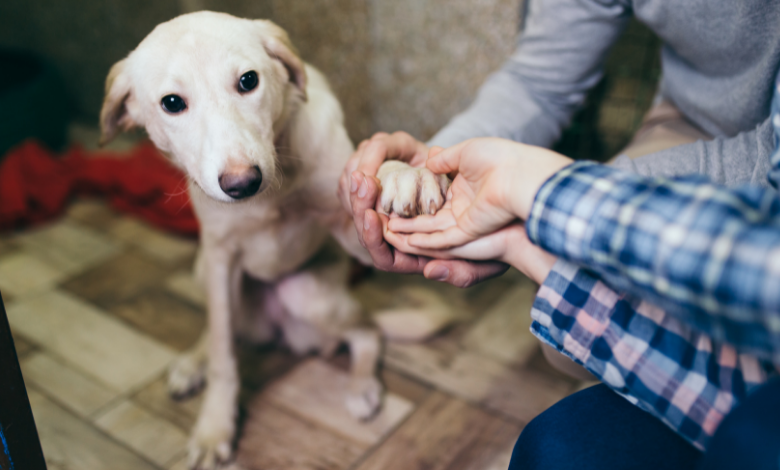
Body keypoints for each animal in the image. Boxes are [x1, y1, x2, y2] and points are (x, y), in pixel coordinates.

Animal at [100, 11, 448, 470]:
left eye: (248, 81)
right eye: (172, 103)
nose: (242, 183)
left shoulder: (353, 228)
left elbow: (373, 175)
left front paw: (402, 172)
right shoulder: (219, 259)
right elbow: (223, 355)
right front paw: (214, 427)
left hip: (310, 296)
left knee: (367, 332)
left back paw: (361, 386)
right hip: (205, 272)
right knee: (220, 327)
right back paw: (194, 361)